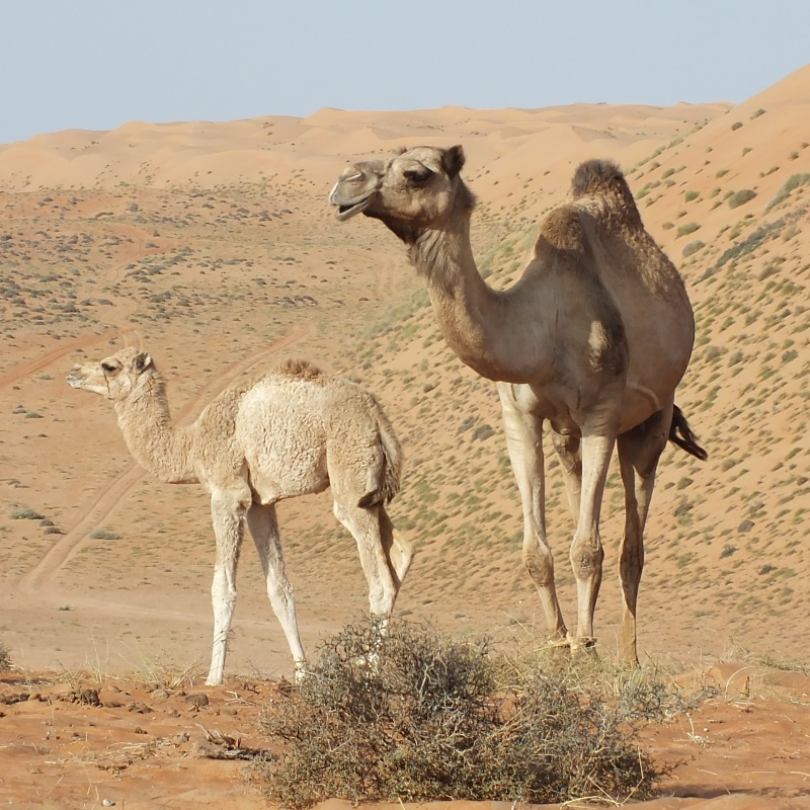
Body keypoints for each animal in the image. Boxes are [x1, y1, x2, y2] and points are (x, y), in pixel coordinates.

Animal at [67, 347, 412, 685]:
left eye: (109, 365)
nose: (73, 372)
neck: (192, 446)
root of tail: (378, 417)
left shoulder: (227, 493)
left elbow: (222, 588)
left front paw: (213, 677)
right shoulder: (261, 502)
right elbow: (279, 589)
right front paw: (302, 674)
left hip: (349, 475)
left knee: (380, 582)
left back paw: (370, 670)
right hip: (371, 494)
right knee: (401, 551)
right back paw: (368, 659)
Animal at [330, 146, 706, 664]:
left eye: (415, 174)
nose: (344, 185)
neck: (540, 333)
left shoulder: (602, 414)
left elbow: (588, 550)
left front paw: (585, 645)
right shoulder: (519, 415)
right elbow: (537, 553)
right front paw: (559, 643)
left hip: (651, 418)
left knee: (632, 538)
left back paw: (627, 656)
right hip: (569, 435)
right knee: (578, 490)